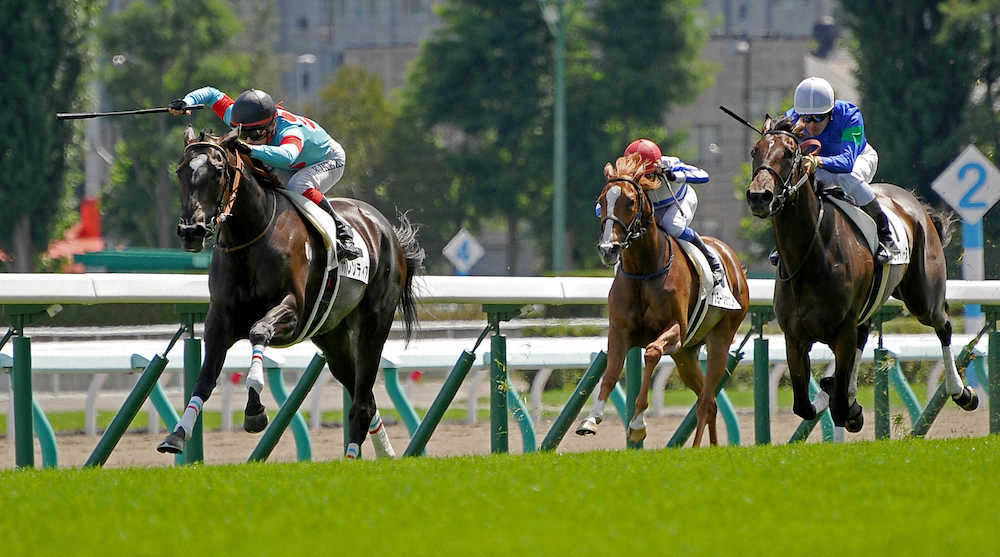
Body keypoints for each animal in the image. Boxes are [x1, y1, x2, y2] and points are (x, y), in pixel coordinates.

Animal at [157, 127, 424, 459]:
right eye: (181, 170)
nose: (191, 231)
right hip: (332, 337)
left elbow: (259, 331)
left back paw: (353, 458)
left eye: (218, 171)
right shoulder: (219, 319)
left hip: (375, 323)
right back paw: (384, 454)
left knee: (362, 400)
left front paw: (255, 410)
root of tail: (385, 228)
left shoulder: (293, 311)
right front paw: (177, 435)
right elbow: (204, 378)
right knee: (366, 397)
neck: (250, 238)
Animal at [576, 154, 750, 446]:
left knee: (706, 401)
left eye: (630, 201)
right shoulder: (620, 330)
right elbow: (611, 372)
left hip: (720, 339)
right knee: (710, 401)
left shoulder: (675, 330)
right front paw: (590, 419)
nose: (608, 249)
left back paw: (698, 448)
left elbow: (652, 352)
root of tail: (734, 260)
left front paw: (637, 424)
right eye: (601, 201)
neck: (644, 270)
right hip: (686, 355)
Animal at [745, 115, 977, 432]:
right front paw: (834, 392)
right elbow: (804, 405)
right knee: (865, 334)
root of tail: (914, 203)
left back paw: (962, 392)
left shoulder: (842, 331)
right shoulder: (794, 336)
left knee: (943, 325)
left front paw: (845, 402)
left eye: (790, 153)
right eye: (754, 151)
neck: (810, 257)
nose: (759, 196)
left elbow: (839, 404)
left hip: (923, 298)